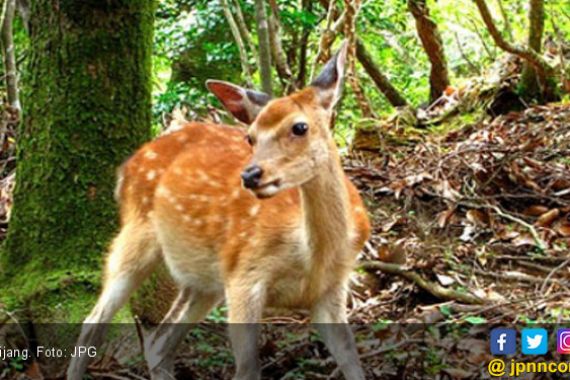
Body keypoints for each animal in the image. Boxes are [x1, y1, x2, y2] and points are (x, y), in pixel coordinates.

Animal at [67, 43, 368, 378]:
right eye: (251, 136)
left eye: (300, 127)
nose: (250, 175)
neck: (312, 255)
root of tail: (126, 168)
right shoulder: (244, 274)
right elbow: (247, 368)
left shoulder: (332, 288)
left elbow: (352, 360)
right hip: (136, 234)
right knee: (93, 322)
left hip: (203, 278)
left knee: (158, 342)